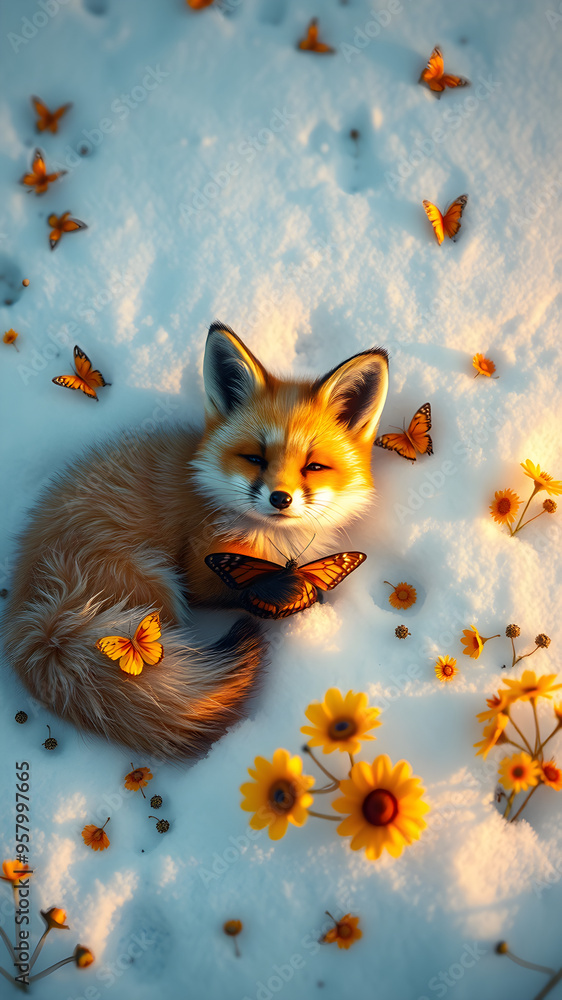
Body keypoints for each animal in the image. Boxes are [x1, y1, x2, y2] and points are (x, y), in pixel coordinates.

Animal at [4, 323, 389, 761]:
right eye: (255, 458)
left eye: (314, 466)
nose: (280, 498)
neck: (274, 541)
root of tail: (34, 619)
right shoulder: (200, 568)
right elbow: (238, 589)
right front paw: (285, 593)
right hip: (154, 590)